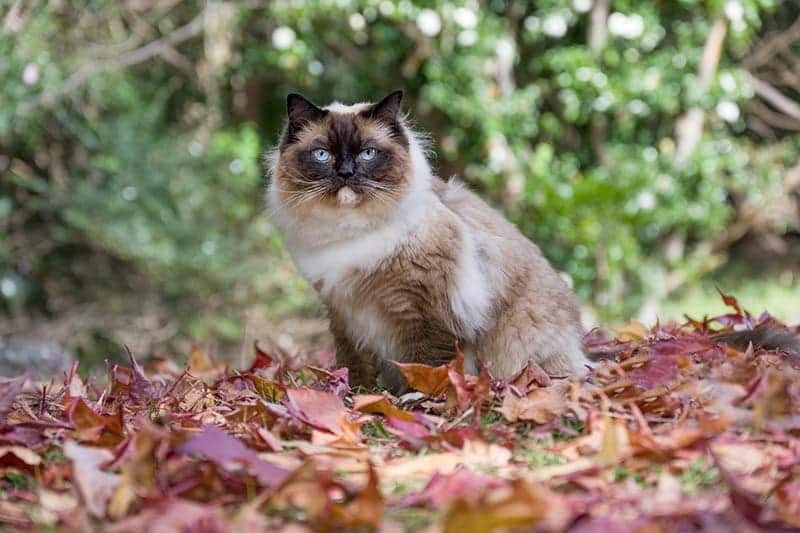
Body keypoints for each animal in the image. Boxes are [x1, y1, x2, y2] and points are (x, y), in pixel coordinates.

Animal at [266, 90, 592, 390]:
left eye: (368, 154)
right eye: (322, 155)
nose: (346, 172)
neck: (350, 235)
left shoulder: (423, 311)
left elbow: (426, 364)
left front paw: (418, 401)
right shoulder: (344, 315)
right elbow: (354, 366)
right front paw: (355, 396)